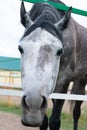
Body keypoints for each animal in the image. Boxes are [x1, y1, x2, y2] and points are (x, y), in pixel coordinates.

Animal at [18, 0, 86, 129]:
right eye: (20, 48)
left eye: (60, 51)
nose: (33, 104)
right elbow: (44, 122)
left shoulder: (63, 83)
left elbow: (55, 121)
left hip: (81, 81)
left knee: (76, 112)